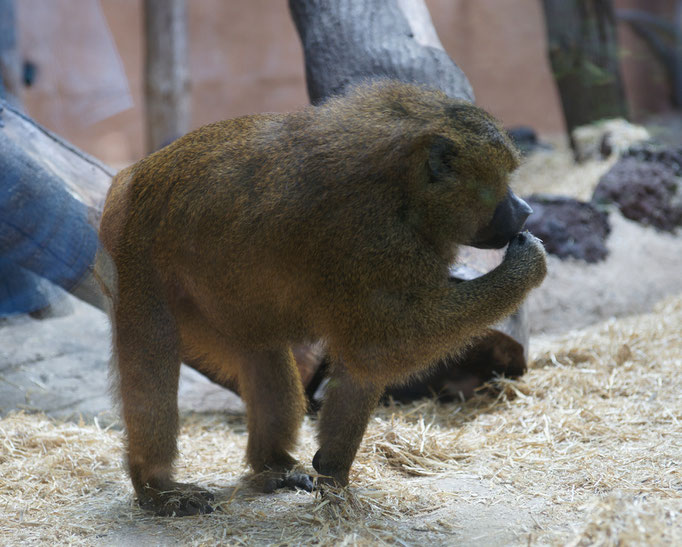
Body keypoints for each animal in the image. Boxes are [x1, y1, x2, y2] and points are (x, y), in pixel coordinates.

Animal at [98, 79, 548, 516]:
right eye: (502, 183)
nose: (525, 209)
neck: (401, 190)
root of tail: (133, 176)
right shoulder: (370, 239)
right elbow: (382, 346)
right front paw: (523, 269)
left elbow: (366, 360)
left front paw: (333, 472)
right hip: (135, 255)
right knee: (151, 355)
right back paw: (156, 486)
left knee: (261, 350)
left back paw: (273, 465)